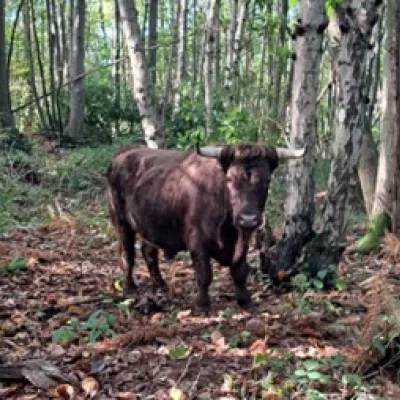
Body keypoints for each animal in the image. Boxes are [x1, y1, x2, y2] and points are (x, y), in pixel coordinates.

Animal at [106, 143, 304, 312]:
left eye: (267, 180)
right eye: (229, 179)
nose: (248, 219)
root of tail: (125, 152)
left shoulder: (242, 242)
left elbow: (240, 272)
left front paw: (245, 301)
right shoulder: (197, 242)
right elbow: (204, 275)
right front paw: (203, 305)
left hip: (148, 224)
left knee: (149, 253)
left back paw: (160, 285)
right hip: (121, 221)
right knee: (128, 255)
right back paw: (130, 287)